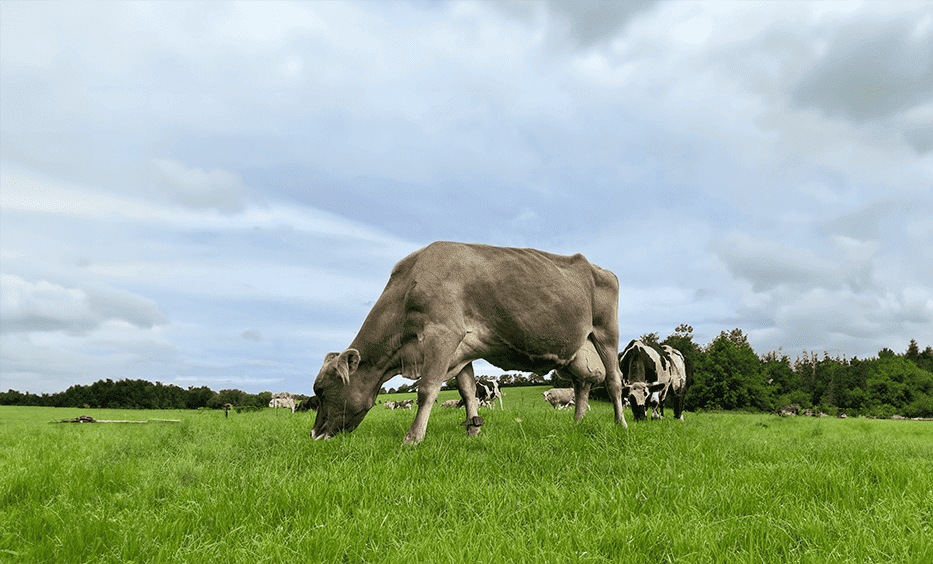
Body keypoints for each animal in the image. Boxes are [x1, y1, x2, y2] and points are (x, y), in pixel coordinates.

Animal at [312, 242, 628, 446]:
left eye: (322, 391)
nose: (314, 435)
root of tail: (601, 269)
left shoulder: (443, 334)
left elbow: (427, 389)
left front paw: (413, 438)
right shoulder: (461, 350)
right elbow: (467, 391)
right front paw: (473, 431)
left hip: (606, 332)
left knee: (614, 380)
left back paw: (621, 424)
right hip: (577, 353)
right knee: (581, 384)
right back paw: (577, 422)